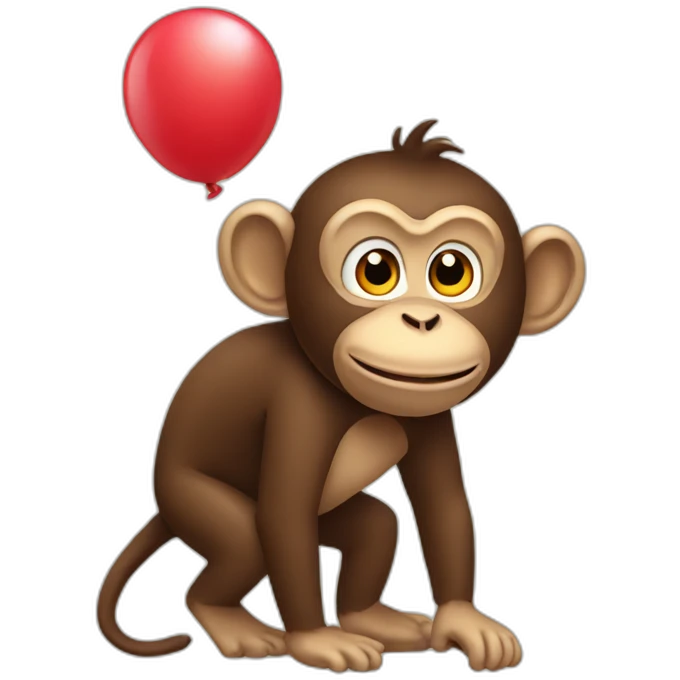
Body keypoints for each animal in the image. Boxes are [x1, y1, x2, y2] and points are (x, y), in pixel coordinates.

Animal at [97, 119, 586, 673]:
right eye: (376, 270)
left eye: (451, 272)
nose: (421, 320)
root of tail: (162, 505)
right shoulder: (298, 403)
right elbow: (283, 513)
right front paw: (314, 641)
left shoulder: (430, 415)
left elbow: (443, 505)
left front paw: (463, 619)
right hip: (188, 494)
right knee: (244, 541)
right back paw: (236, 625)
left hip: (327, 519)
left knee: (376, 526)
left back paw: (371, 618)